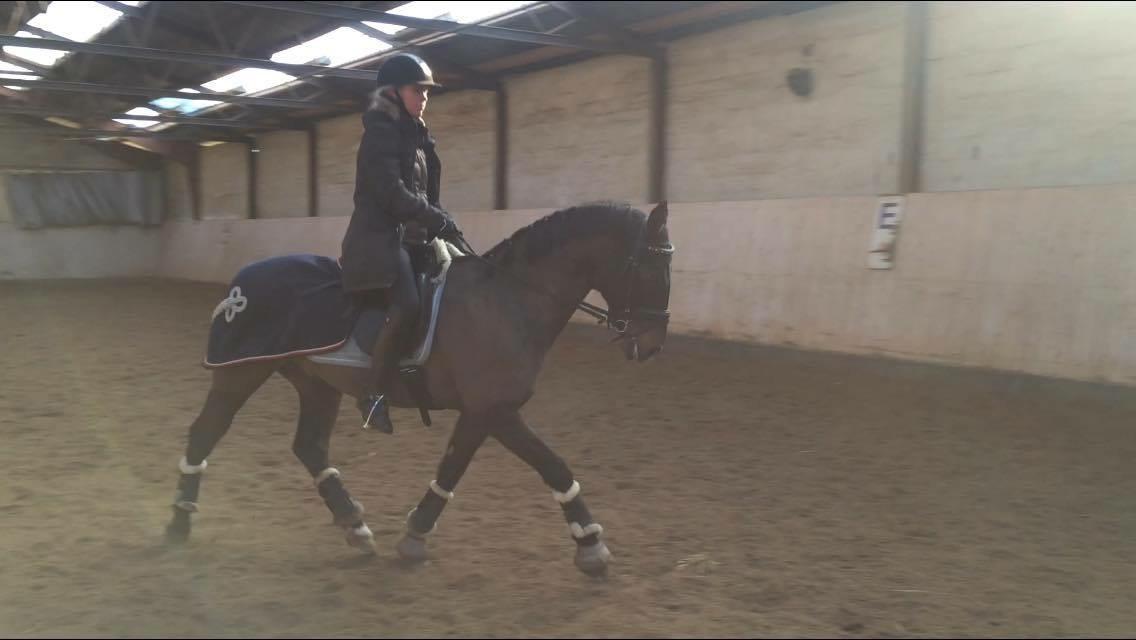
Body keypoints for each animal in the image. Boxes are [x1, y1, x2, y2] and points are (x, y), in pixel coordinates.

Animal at [164, 200, 674, 576]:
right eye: (651, 269)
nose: (651, 345)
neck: (508, 299)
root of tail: (241, 282)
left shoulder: (483, 412)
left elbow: (451, 470)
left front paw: (413, 537)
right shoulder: (496, 410)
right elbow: (552, 465)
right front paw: (591, 545)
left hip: (316, 383)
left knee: (309, 446)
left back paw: (354, 526)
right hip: (240, 374)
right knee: (204, 433)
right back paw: (178, 522)